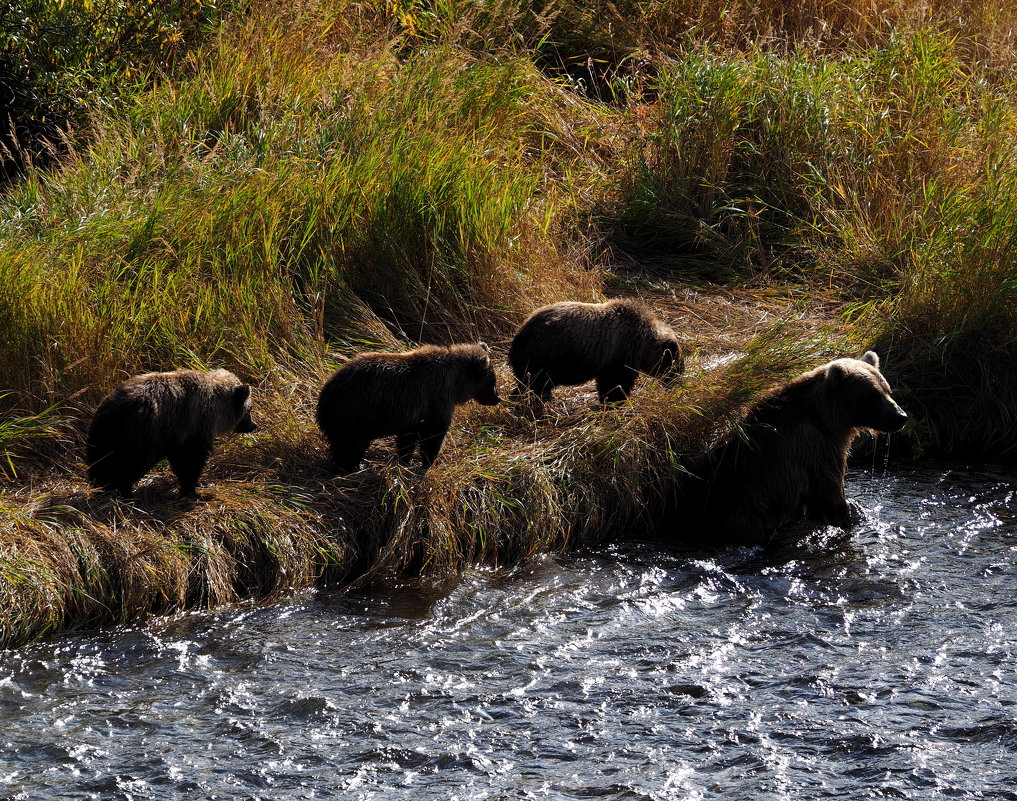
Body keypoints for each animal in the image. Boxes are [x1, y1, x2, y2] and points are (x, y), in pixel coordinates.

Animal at [86, 367, 258, 494]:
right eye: (249, 409)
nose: (253, 425)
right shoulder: (195, 424)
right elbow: (191, 459)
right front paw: (191, 489)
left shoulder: (178, 434)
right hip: (138, 436)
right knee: (127, 465)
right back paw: (120, 488)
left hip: (104, 434)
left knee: (102, 460)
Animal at [311, 341, 498, 471]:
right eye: (492, 382)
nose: (498, 398)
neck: (456, 384)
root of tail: (325, 396)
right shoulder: (436, 399)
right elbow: (433, 435)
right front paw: (429, 462)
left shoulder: (413, 415)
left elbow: (407, 440)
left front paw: (405, 461)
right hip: (355, 413)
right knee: (351, 445)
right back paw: (353, 467)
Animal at [508, 296, 683, 404]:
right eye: (676, 365)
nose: (678, 382)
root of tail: (519, 334)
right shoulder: (620, 352)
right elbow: (614, 383)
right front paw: (615, 402)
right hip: (545, 356)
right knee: (534, 383)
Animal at [679, 353, 911, 548]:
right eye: (873, 395)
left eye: (887, 389)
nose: (901, 416)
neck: (828, 419)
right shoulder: (818, 448)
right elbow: (829, 493)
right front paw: (845, 514)